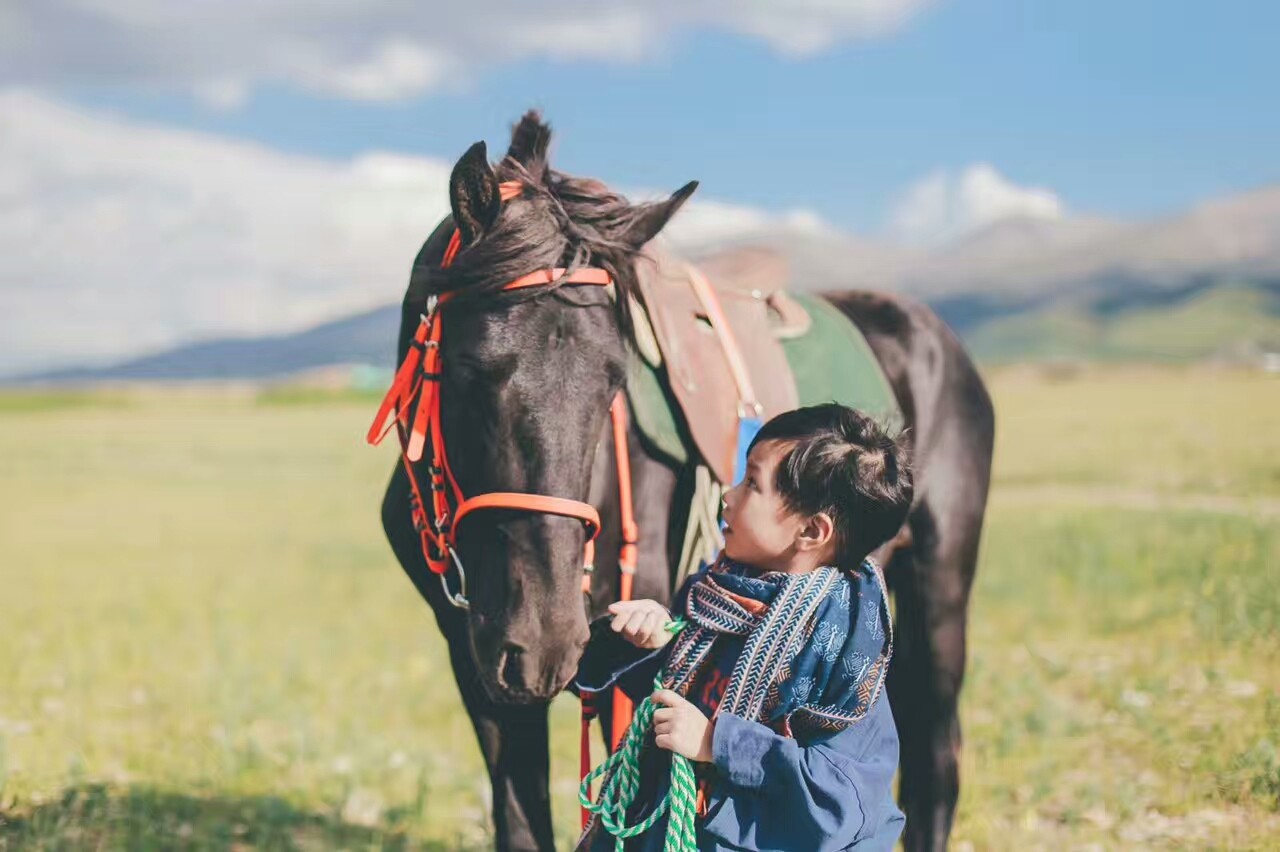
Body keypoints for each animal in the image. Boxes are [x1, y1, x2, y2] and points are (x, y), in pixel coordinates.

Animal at [373, 109, 993, 844]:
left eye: (614, 378)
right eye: (471, 368)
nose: (545, 642)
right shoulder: (480, 661)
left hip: (940, 590)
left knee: (936, 761)